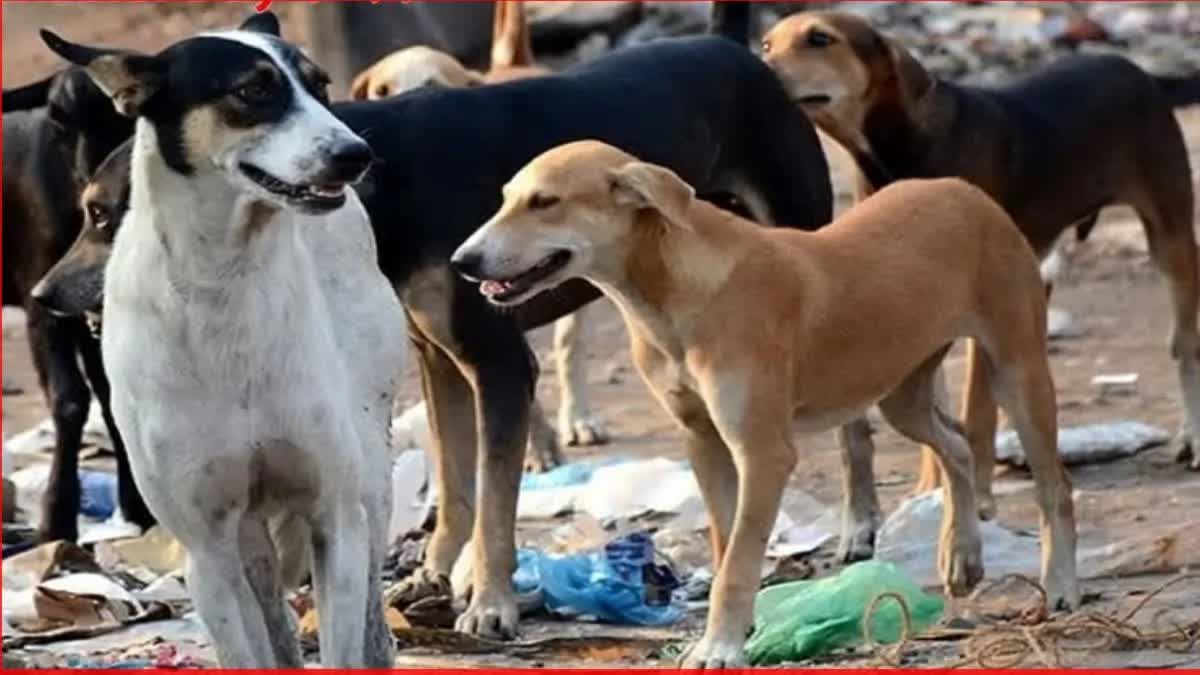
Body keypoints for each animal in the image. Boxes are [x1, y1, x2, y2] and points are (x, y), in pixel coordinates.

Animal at [2, 70, 148, 538]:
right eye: (57, 118)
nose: (96, 191)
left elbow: (111, 394)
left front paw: (138, 509)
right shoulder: (41, 300)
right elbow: (69, 400)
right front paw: (56, 519)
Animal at [41, 13, 403, 662]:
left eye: (321, 86)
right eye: (252, 90)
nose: (356, 154)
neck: (225, 280)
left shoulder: (334, 518)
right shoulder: (207, 551)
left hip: (369, 473)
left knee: (371, 623)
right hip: (246, 538)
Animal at [453, 140, 1084, 662]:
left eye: (545, 202)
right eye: (507, 199)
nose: (462, 262)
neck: (671, 293)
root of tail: (963, 190)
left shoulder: (763, 452)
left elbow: (737, 562)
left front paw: (721, 647)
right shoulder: (702, 441)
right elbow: (726, 543)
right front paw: (739, 631)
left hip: (1019, 369)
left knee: (1054, 488)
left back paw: (1060, 586)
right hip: (898, 389)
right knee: (954, 444)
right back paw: (962, 552)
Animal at [763, 13, 1200, 554]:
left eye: (820, 39)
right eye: (768, 44)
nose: (758, 65)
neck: (899, 149)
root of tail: (1133, 68)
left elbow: (972, 412)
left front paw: (977, 501)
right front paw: (931, 493)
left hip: (1169, 231)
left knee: (1183, 341)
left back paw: (1191, 435)